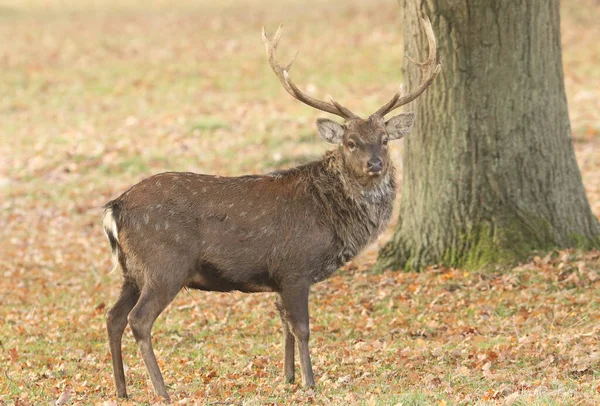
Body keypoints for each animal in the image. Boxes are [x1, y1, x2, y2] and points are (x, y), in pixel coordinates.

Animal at [103, 16, 440, 400]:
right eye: (351, 142)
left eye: (384, 140)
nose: (375, 164)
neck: (331, 218)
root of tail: (116, 207)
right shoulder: (295, 267)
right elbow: (302, 328)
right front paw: (310, 382)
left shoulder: (278, 278)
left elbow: (285, 326)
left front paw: (288, 377)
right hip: (165, 264)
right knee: (138, 319)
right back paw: (162, 391)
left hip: (132, 271)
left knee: (112, 317)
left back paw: (122, 390)